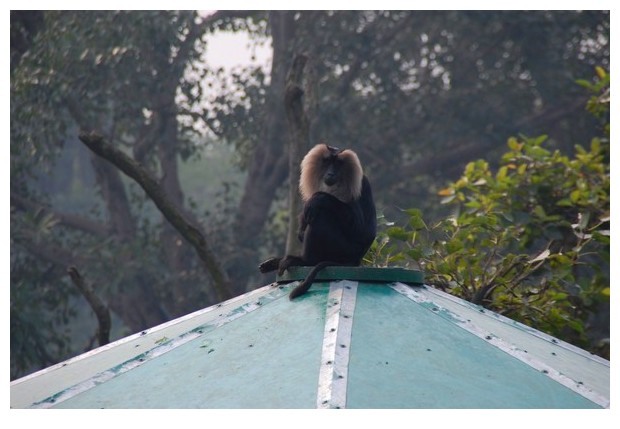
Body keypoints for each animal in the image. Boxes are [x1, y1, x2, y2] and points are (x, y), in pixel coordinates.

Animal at [258, 142, 376, 300]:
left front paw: (318, 199)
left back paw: (303, 261)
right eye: (327, 162)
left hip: (343, 249)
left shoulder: (359, 186)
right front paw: (302, 222)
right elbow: (303, 228)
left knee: (321, 215)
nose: (331, 173)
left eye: (338, 164)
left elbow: (360, 229)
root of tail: (356, 259)